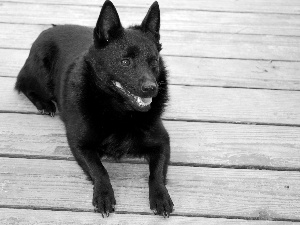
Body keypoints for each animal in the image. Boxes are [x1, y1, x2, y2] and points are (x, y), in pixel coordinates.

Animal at [15, 0, 173, 218]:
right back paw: (45, 105)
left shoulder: (163, 141)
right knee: (25, 85)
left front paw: (160, 196)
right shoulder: (80, 144)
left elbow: (156, 173)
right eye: (125, 62)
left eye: (154, 62)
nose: (151, 88)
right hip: (40, 75)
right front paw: (104, 195)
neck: (120, 112)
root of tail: (50, 29)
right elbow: (99, 170)